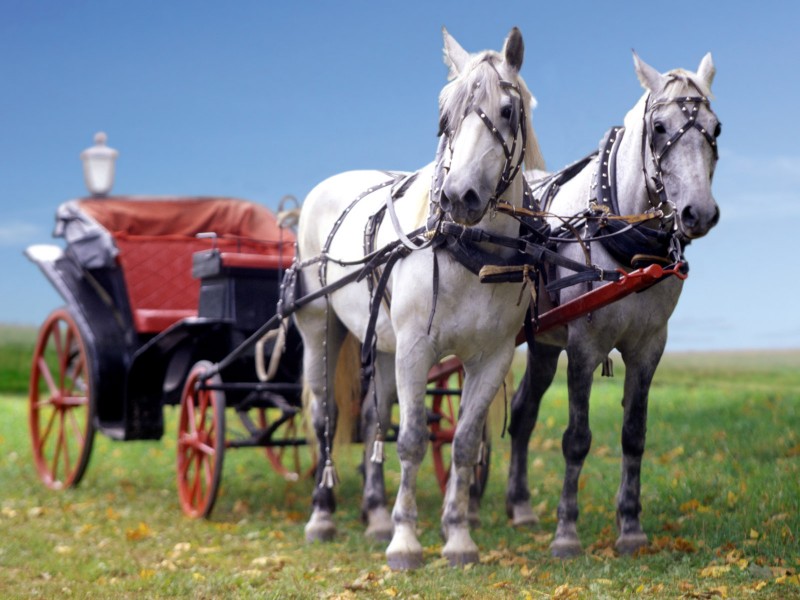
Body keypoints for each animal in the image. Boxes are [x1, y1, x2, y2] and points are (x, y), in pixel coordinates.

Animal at [292, 26, 544, 569]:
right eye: (444, 115)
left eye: (507, 111)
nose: (459, 196)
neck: (469, 251)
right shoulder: (415, 349)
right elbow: (410, 441)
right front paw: (406, 541)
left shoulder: (491, 357)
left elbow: (464, 443)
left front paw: (457, 536)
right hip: (320, 325)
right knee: (325, 417)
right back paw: (322, 515)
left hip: (382, 344)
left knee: (373, 418)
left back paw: (374, 514)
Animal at [504, 52, 721, 557]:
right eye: (659, 127)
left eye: (716, 128)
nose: (699, 213)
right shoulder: (584, 346)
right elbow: (577, 439)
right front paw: (566, 532)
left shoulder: (648, 348)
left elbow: (634, 435)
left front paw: (631, 527)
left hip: (544, 342)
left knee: (522, 412)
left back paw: (520, 506)